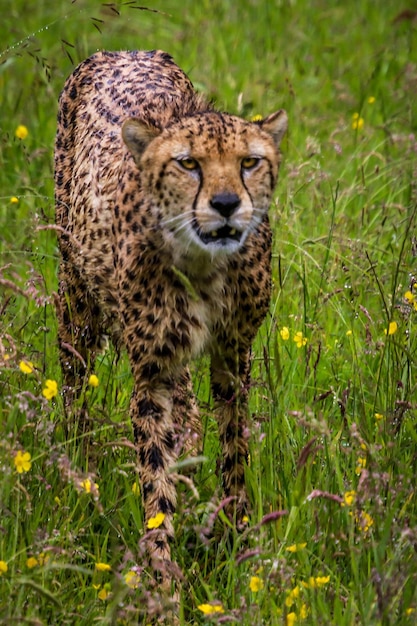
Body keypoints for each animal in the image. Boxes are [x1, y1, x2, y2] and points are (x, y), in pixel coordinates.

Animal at [54, 52, 286, 580]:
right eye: (188, 163)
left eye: (249, 162)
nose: (226, 205)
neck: (202, 266)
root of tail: (125, 52)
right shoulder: (152, 371)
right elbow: (154, 478)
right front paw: (161, 576)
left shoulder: (233, 352)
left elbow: (234, 447)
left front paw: (236, 538)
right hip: (77, 300)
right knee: (75, 387)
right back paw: (80, 473)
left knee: (190, 408)